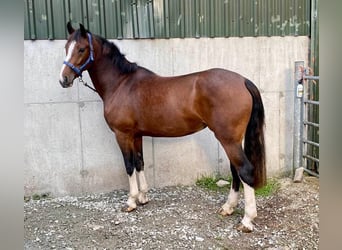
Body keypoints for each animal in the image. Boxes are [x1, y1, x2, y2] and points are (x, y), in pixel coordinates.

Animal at [59, 23, 268, 232]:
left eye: (81, 49)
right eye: (66, 47)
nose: (64, 79)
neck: (121, 84)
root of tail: (242, 80)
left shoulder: (122, 134)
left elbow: (128, 166)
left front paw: (131, 201)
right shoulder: (136, 135)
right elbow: (139, 162)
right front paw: (143, 197)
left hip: (228, 139)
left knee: (244, 170)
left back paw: (247, 220)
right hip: (231, 139)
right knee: (235, 170)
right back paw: (228, 207)